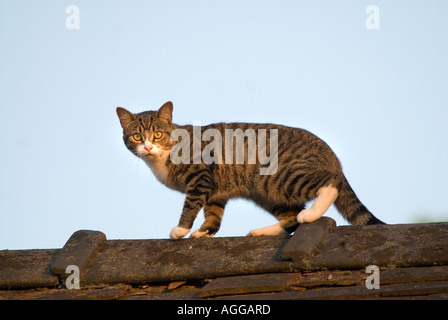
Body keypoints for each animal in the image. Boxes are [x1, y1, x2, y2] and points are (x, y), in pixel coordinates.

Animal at [116, 101, 384, 239]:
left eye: (157, 135)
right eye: (137, 136)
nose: (148, 147)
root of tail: (332, 155)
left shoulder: (200, 177)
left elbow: (190, 205)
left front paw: (181, 229)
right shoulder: (214, 190)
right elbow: (213, 214)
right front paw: (205, 231)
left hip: (278, 177)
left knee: (330, 183)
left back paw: (310, 214)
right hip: (267, 193)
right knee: (291, 217)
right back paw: (262, 231)